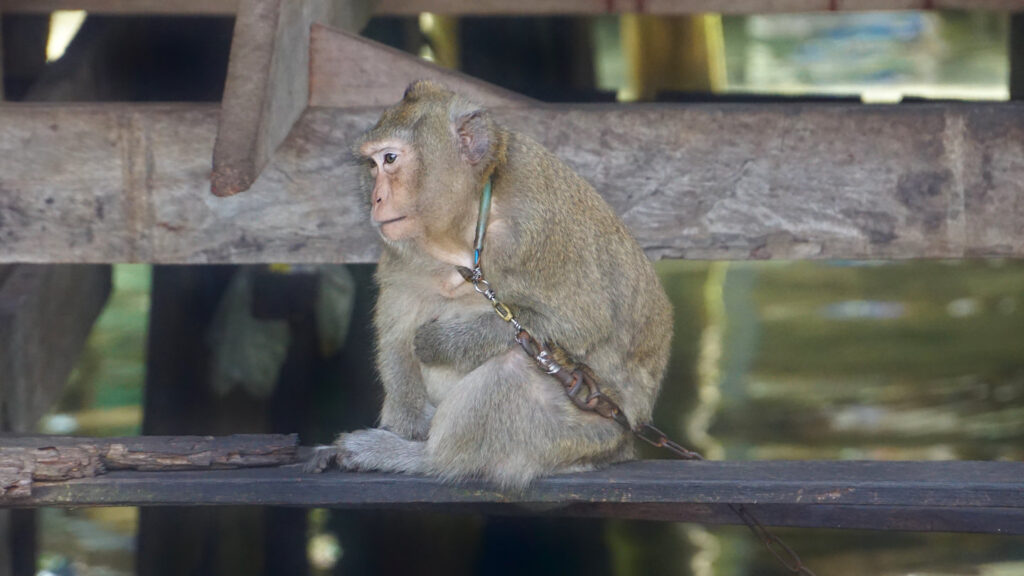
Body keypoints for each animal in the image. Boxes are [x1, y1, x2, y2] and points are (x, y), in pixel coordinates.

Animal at [305, 80, 671, 487]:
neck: (465, 227)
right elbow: (398, 333)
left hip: (581, 435)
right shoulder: (402, 253)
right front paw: (405, 424)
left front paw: (438, 342)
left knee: (516, 364)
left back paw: (420, 458)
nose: (376, 198)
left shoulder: (536, 228)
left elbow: (580, 323)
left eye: (390, 159)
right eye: (371, 165)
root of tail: (625, 442)